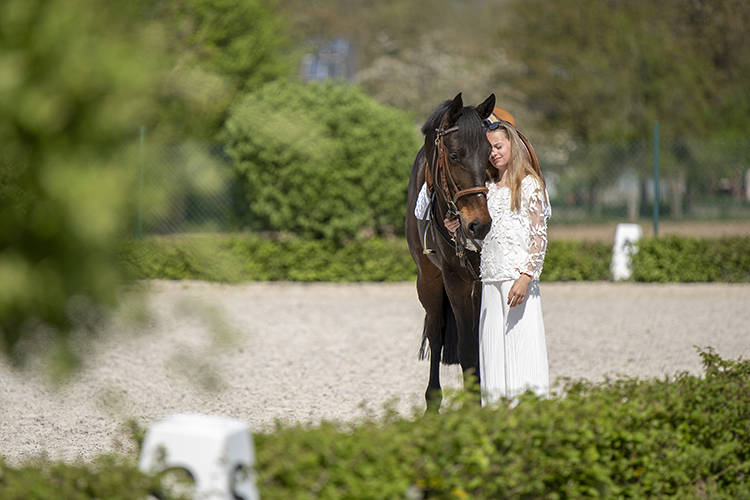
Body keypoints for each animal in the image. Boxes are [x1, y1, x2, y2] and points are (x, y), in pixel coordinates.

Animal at [408, 93, 496, 410]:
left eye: (490, 154)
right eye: (455, 155)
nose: (479, 224)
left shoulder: (482, 279)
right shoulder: (453, 278)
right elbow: (466, 346)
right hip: (428, 280)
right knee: (436, 331)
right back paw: (432, 401)